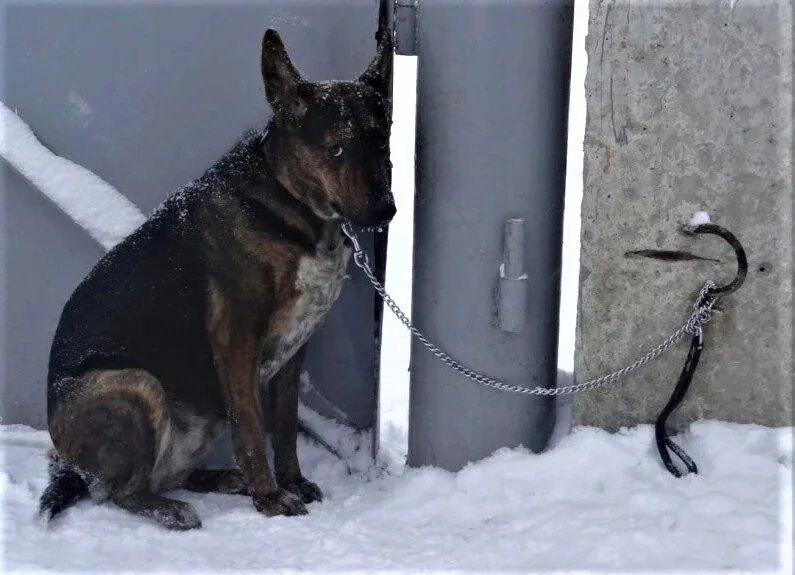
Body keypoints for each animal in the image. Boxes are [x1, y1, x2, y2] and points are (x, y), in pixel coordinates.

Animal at [38, 28, 396, 532]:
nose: (387, 212)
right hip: (133, 384)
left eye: (383, 141)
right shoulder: (236, 340)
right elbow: (251, 428)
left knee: (169, 475)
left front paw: (291, 481)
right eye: (337, 149)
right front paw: (271, 497)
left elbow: (283, 428)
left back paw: (223, 479)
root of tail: (68, 461)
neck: (293, 208)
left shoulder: (294, 351)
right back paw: (174, 508)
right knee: (119, 492)